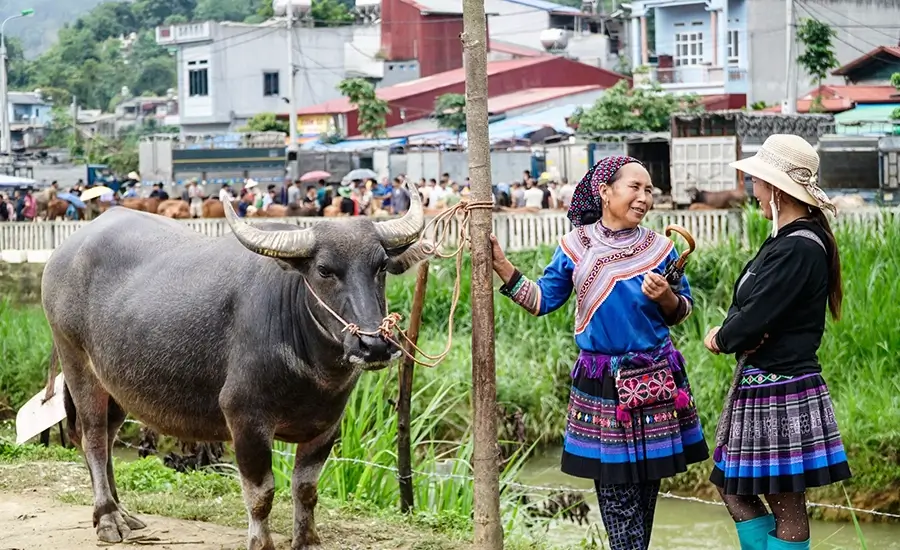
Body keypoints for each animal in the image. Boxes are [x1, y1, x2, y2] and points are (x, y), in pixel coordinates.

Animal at [41, 180, 432, 550]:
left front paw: (307, 540)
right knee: (92, 438)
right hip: (77, 363)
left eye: (381, 267)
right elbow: (261, 494)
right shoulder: (245, 419)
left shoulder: (327, 426)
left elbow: (305, 489)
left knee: (108, 438)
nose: (374, 344)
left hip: (117, 385)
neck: (312, 368)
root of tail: (61, 256)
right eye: (324, 270)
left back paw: (121, 511)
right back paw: (108, 518)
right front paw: (261, 542)